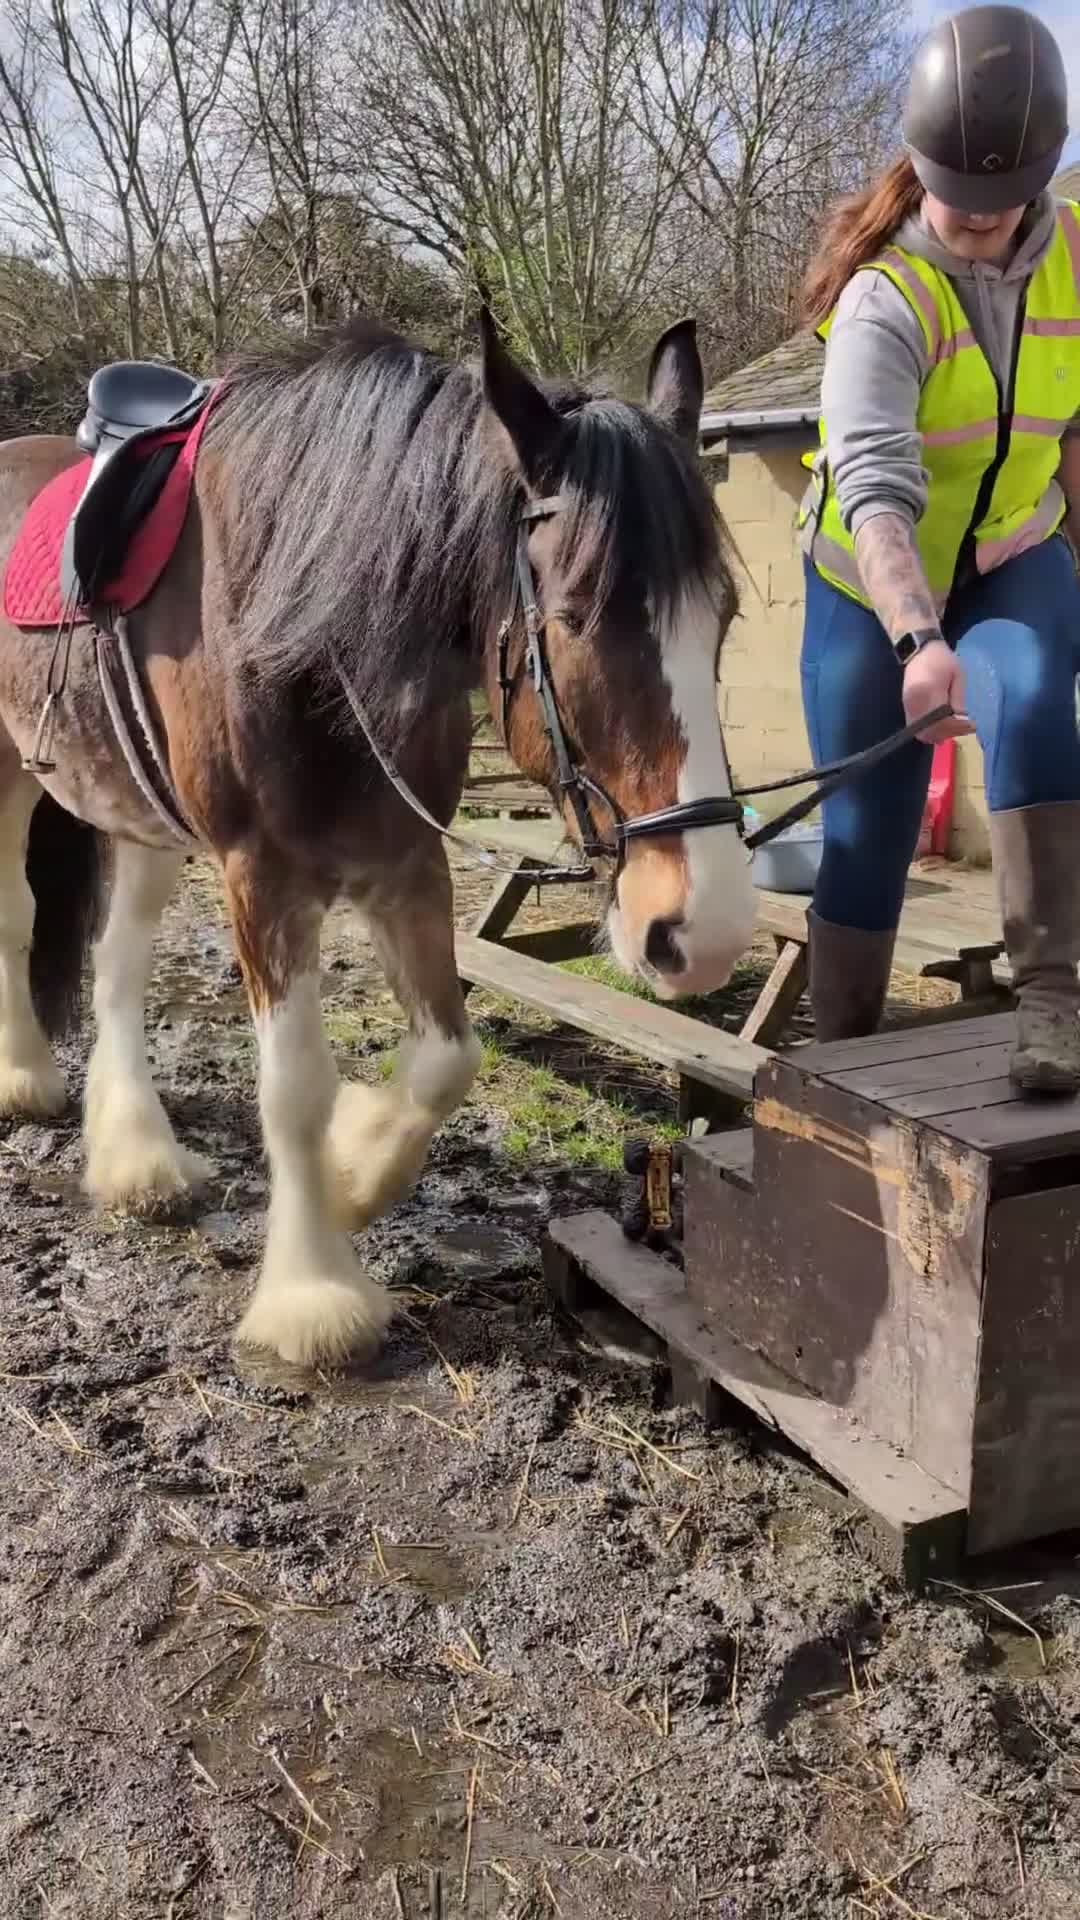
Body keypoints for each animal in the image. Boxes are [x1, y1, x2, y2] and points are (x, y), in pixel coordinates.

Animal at [0, 311, 757, 1366]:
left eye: (721, 617)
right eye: (573, 617)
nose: (706, 931)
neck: (303, 619)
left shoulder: (406, 861)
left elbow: (447, 1060)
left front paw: (354, 1175)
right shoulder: (261, 876)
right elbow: (293, 1088)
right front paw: (314, 1293)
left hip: (142, 811)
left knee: (118, 957)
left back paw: (139, 1159)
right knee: (19, 917)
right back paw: (27, 1077)